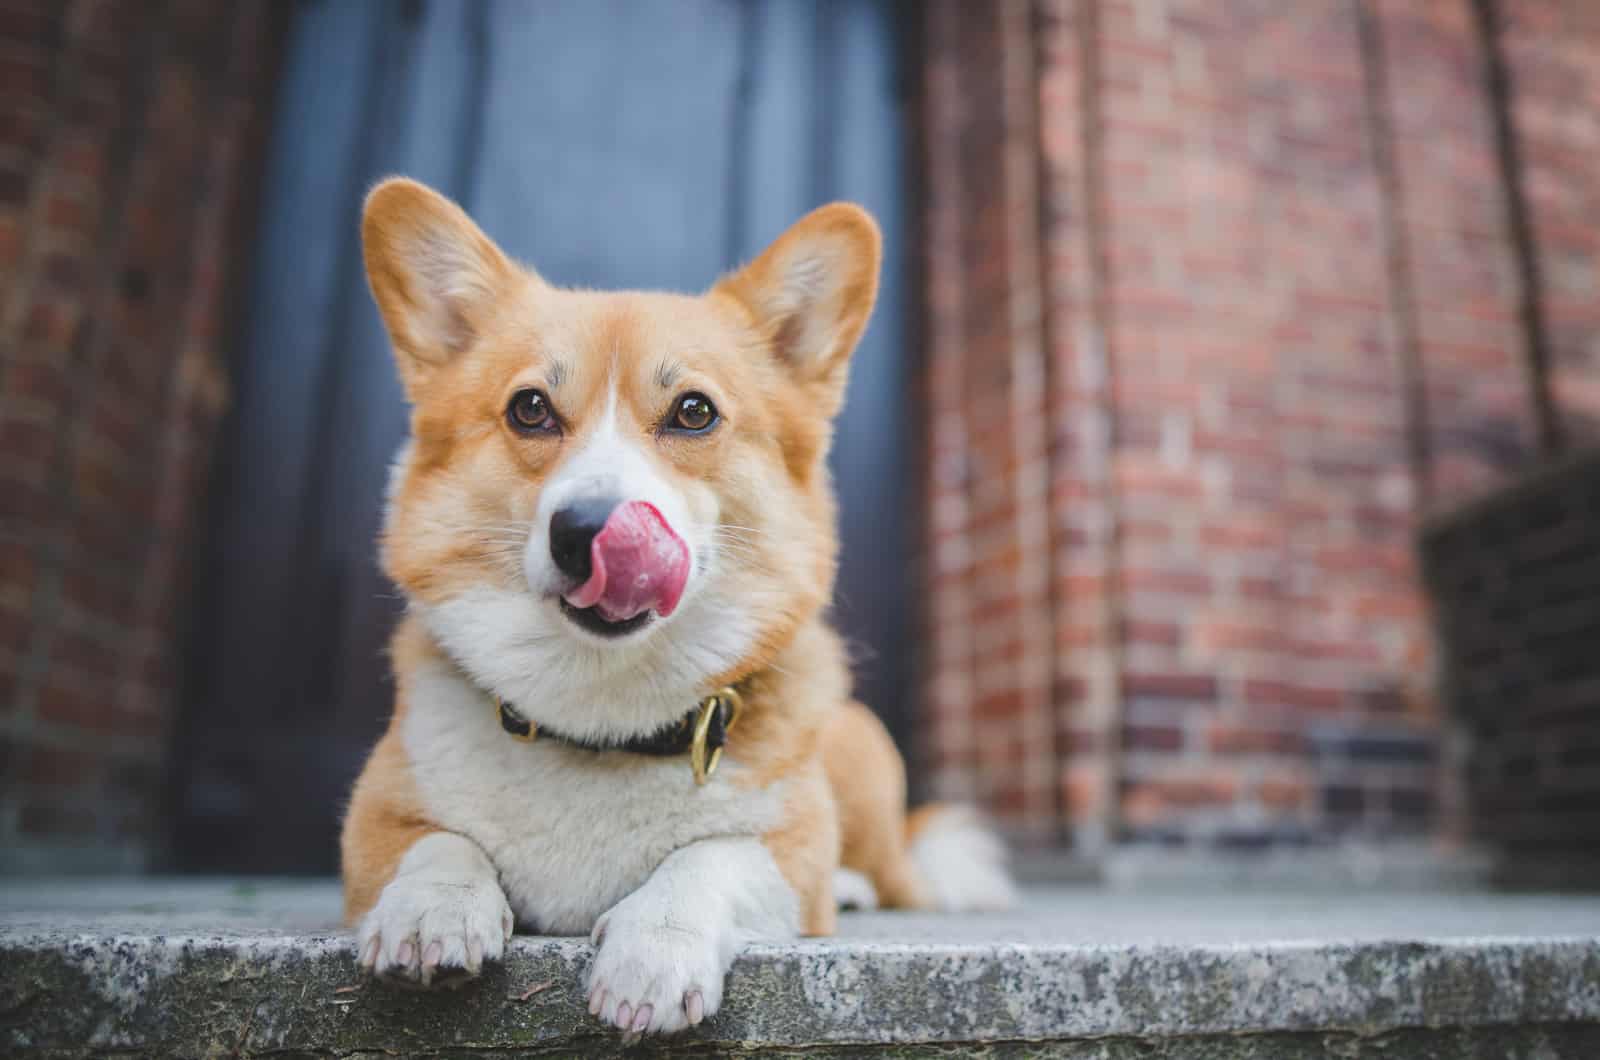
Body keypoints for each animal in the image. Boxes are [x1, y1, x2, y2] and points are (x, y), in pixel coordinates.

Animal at [340, 180, 1011, 1037]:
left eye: (694, 412)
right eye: (530, 409)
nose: (586, 532)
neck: (598, 722)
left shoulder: (782, 853)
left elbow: (707, 859)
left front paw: (651, 958)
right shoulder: (374, 820)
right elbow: (438, 844)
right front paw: (431, 914)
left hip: (862, 756)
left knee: (889, 872)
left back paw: (857, 885)